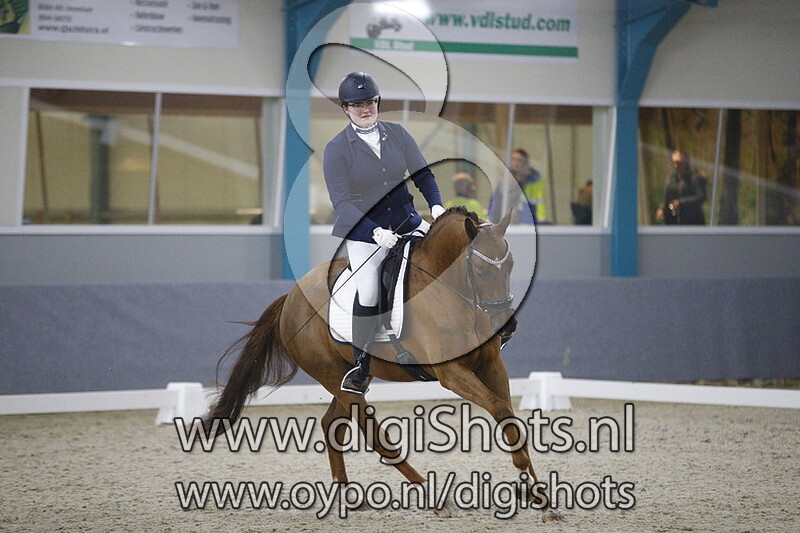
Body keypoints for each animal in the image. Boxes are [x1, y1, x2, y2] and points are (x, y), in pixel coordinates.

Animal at [203, 206, 562, 521]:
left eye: (511, 264)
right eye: (482, 269)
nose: (507, 327)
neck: (449, 289)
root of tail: (290, 298)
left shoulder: (491, 366)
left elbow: (509, 415)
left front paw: (540, 497)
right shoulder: (451, 372)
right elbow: (499, 408)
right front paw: (524, 479)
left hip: (347, 380)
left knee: (333, 424)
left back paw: (349, 496)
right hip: (330, 374)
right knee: (374, 433)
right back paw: (433, 498)